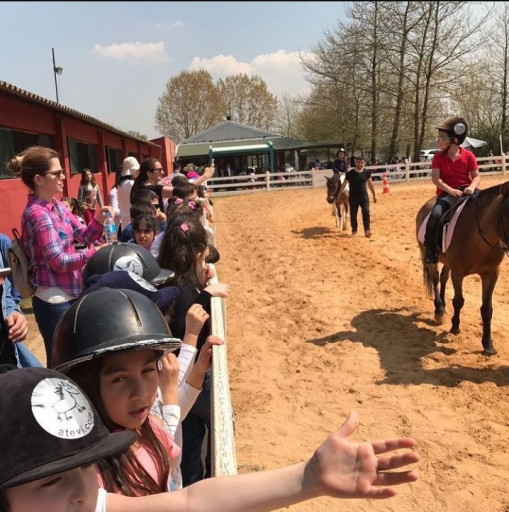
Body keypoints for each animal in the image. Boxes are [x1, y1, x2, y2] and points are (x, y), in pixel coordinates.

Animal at [414, 181, 509, 356]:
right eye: (506, 216)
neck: (477, 237)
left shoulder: (491, 274)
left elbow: (487, 309)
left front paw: (488, 344)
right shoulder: (458, 273)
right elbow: (459, 301)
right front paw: (455, 327)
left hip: (447, 261)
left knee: (443, 277)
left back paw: (443, 306)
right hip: (428, 255)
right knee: (436, 278)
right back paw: (439, 310)